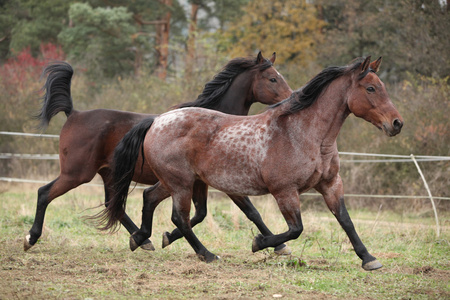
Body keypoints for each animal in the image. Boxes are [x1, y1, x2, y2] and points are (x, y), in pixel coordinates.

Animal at [25, 52, 292, 253]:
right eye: (272, 79)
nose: (291, 99)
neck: (215, 124)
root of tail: (74, 113)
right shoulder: (221, 182)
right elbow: (251, 211)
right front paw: (277, 246)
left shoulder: (197, 182)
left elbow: (199, 213)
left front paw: (164, 237)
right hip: (76, 174)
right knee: (44, 193)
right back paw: (31, 238)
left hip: (108, 175)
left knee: (115, 206)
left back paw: (143, 241)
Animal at [103, 55, 404, 270]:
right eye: (371, 88)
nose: (397, 123)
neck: (306, 135)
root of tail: (156, 121)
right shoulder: (284, 191)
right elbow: (294, 229)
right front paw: (260, 243)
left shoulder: (331, 185)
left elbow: (346, 220)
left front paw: (369, 258)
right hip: (181, 183)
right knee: (180, 217)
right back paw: (207, 255)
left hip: (178, 182)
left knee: (151, 198)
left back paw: (142, 239)